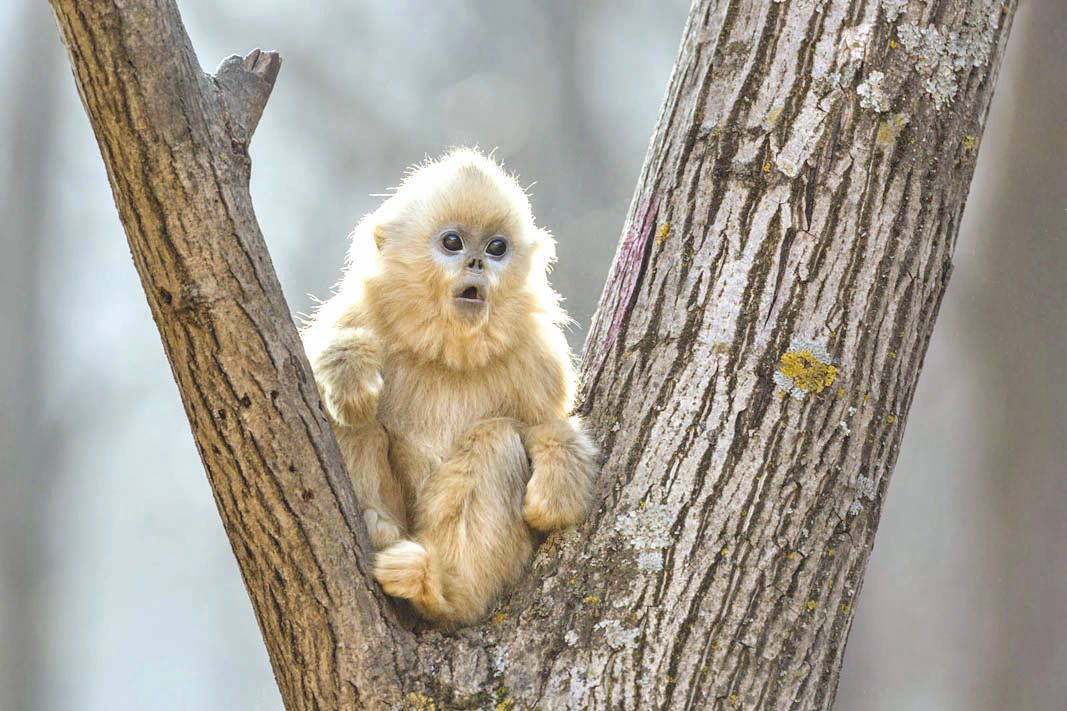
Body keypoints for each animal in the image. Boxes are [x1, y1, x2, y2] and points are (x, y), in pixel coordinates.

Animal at [301, 148, 597, 626]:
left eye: (497, 247)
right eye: (453, 243)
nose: (476, 263)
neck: (445, 351)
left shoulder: (536, 355)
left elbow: (544, 426)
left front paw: (557, 487)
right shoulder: (357, 313)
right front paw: (349, 369)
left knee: (495, 437)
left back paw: (436, 588)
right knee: (354, 419)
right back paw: (380, 526)